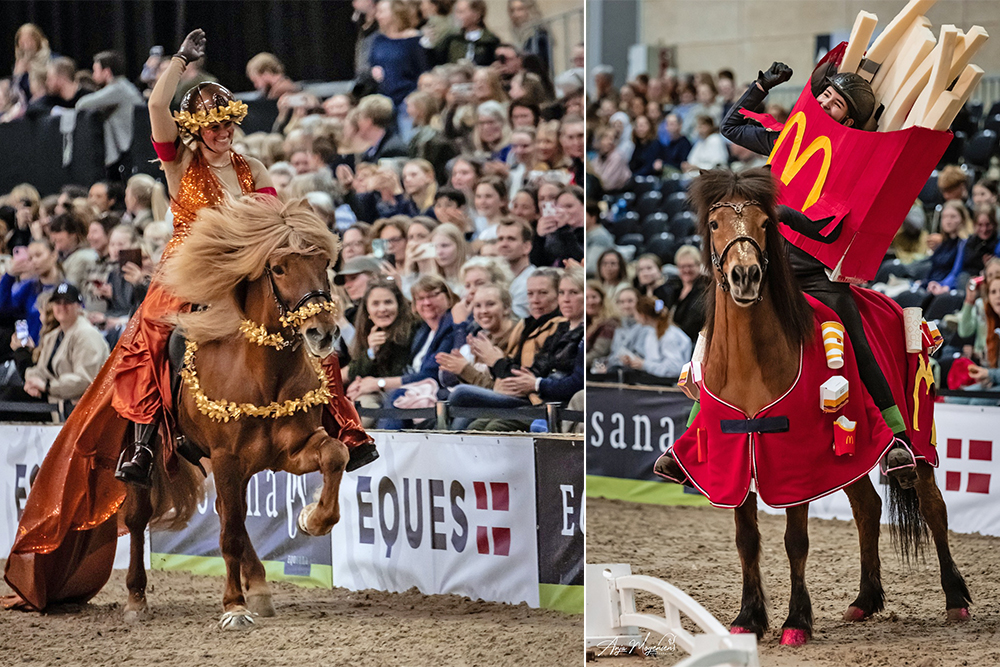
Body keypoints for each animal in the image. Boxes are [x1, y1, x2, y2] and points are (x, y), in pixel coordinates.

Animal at [121, 194, 350, 632]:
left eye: (323, 263)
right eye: (278, 267)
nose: (322, 332)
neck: (262, 373)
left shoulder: (291, 450)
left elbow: (336, 454)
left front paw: (312, 519)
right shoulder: (227, 458)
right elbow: (228, 535)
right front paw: (233, 607)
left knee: (233, 517)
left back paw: (259, 586)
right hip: (152, 457)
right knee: (139, 519)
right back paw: (136, 599)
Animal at [656, 168, 968, 648]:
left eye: (766, 224)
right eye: (713, 224)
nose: (745, 275)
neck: (752, 364)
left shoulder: (794, 464)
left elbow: (795, 541)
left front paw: (796, 622)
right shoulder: (739, 458)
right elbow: (747, 540)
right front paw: (748, 619)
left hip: (918, 443)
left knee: (934, 508)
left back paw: (955, 600)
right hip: (851, 455)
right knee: (867, 509)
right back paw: (864, 600)